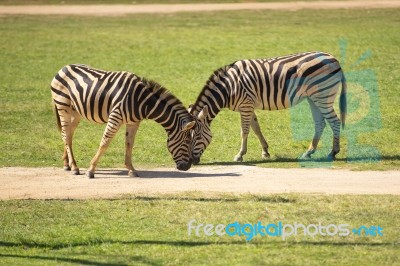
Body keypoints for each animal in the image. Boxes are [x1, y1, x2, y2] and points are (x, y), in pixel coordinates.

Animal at [51, 63, 195, 178]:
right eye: (187, 141)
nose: (188, 166)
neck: (142, 102)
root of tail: (65, 67)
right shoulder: (115, 117)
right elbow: (105, 143)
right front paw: (91, 170)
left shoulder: (133, 122)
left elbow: (129, 144)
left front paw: (131, 170)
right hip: (63, 105)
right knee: (66, 134)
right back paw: (75, 167)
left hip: (76, 112)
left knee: (68, 134)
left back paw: (67, 164)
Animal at [190, 51, 346, 164]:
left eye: (196, 137)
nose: (192, 162)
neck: (228, 87)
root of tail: (333, 58)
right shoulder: (249, 106)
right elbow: (256, 129)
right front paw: (265, 151)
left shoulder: (246, 105)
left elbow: (244, 131)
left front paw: (240, 155)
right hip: (313, 98)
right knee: (320, 123)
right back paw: (309, 152)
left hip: (323, 96)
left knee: (335, 122)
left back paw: (333, 152)